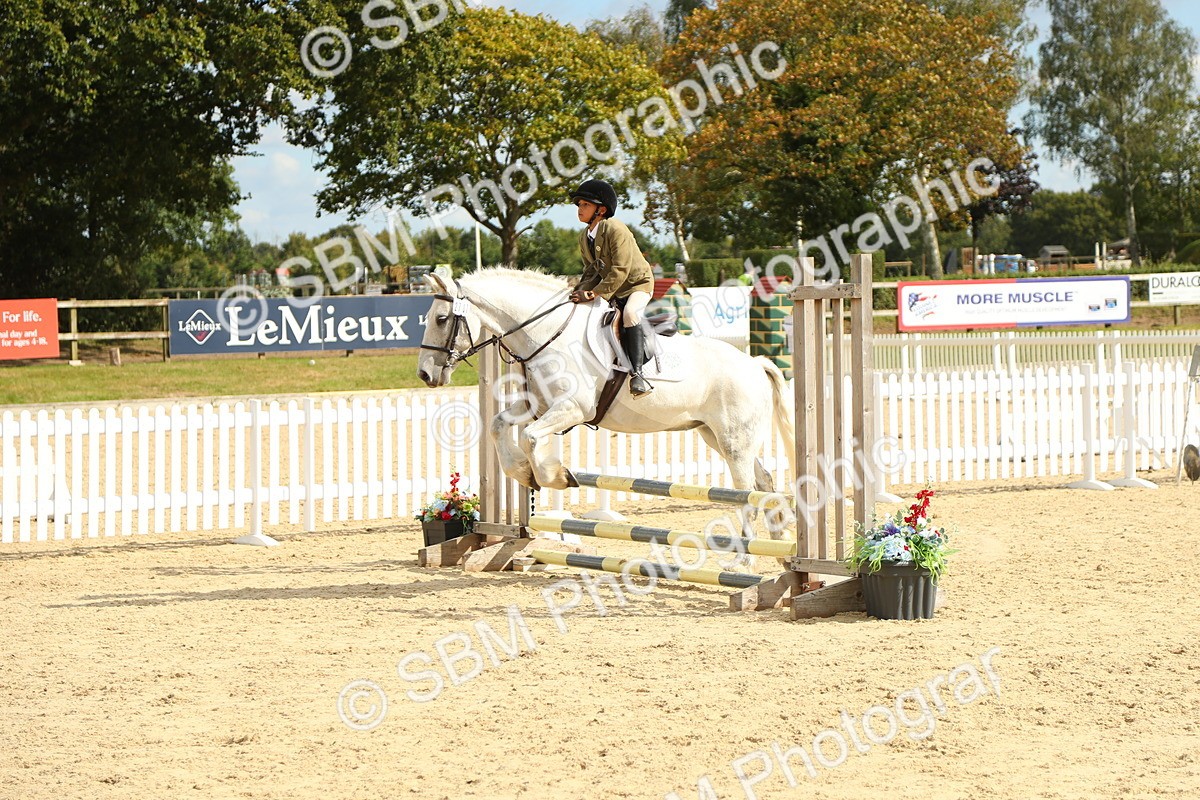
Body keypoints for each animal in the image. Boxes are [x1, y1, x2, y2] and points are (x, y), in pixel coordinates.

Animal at [416, 267, 796, 496]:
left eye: (441, 318)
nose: (425, 374)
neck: (545, 332)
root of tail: (755, 364)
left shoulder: (572, 409)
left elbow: (530, 438)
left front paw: (555, 477)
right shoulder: (537, 406)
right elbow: (498, 426)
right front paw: (524, 474)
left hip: (735, 443)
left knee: (747, 492)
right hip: (713, 435)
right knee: (764, 482)